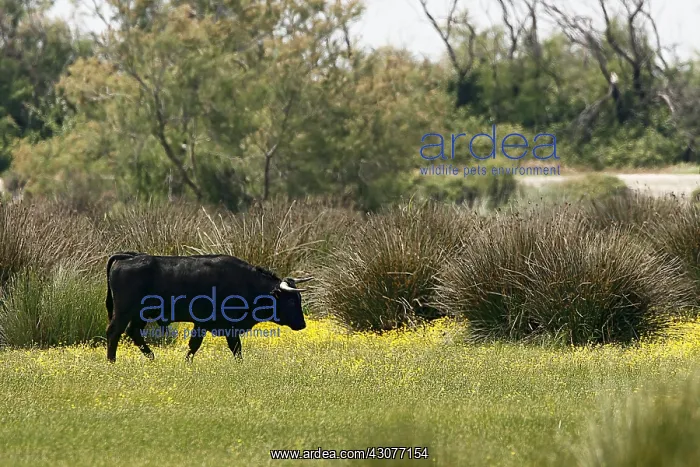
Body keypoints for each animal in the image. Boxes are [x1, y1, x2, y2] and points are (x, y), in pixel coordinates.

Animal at [104, 252, 311, 362]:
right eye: (291, 300)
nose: (302, 324)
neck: (246, 283)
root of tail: (130, 256)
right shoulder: (212, 324)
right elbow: (209, 346)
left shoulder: (217, 326)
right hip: (124, 312)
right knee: (114, 332)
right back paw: (112, 361)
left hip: (140, 315)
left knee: (133, 332)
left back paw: (152, 357)